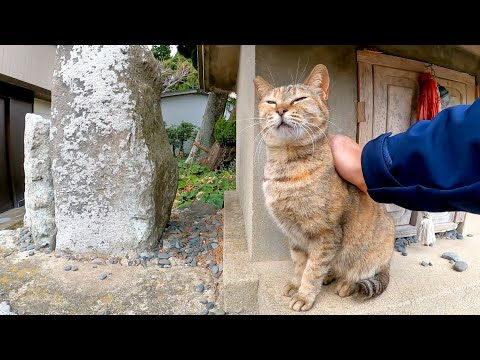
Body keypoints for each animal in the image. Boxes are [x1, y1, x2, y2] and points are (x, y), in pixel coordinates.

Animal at [255, 64, 394, 312]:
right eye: (271, 102)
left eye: (299, 99)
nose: (280, 109)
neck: (286, 168)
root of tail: (388, 261)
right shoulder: (295, 236)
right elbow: (300, 265)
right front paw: (296, 284)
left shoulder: (325, 234)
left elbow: (312, 270)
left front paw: (304, 296)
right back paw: (330, 276)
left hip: (373, 253)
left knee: (360, 272)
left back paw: (346, 285)